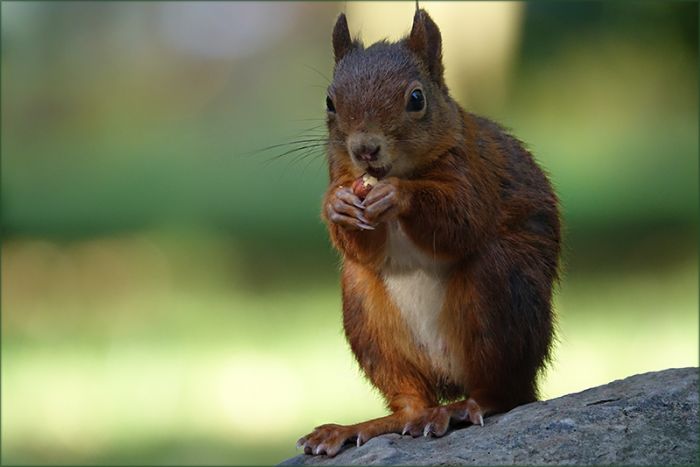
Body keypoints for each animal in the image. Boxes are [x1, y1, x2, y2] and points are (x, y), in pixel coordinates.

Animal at [297, 9, 561, 457]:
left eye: (416, 99)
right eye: (329, 102)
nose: (365, 149)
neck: (400, 170)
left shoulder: (473, 172)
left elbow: (461, 220)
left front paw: (399, 196)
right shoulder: (344, 175)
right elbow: (361, 248)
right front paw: (337, 206)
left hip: (497, 294)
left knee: (502, 392)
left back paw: (466, 407)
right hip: (368, 318)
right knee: (410, 400)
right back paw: (366, 425)